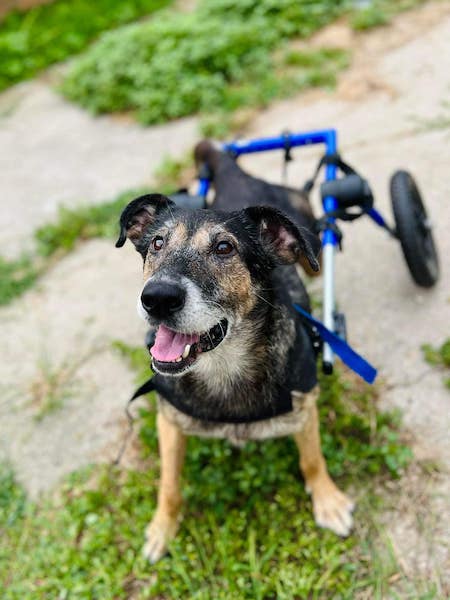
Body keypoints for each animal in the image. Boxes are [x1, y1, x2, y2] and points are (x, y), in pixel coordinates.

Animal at [116, 140, 354, 563]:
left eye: (224, 247)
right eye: (157, 243)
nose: (156, 298)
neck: (222, 366)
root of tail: (235, 173)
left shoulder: (305, 407)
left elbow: (312, 459)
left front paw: (328, 500)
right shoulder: (168, 422)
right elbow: (169, 484)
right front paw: (162, 528)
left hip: (311, 237)